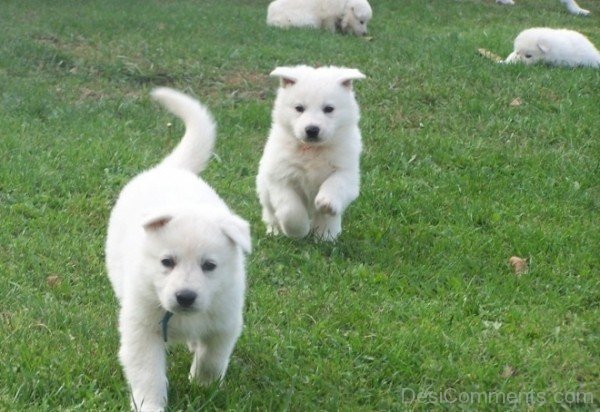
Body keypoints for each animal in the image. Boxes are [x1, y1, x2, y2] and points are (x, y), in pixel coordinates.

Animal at [105, 87, 251, 412]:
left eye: (209, 266)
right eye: (167, 262)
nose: (185, 297)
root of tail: (169, 169)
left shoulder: (224, 321)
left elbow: (212, 358)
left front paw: (203, 385)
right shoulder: (141, 328)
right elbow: (148, 374)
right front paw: (150, 405)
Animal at [254, 64, 364, 241]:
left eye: (329, 109)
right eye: (299, 108)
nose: (312, 130)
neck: (312, 150)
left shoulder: (346, 171)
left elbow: (335, 184)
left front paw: (326, 203)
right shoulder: (280, 178)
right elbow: (290, 210)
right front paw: (298, 231)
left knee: (326, 220)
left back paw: (326, 236)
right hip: (264, 191)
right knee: (270, 214)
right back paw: (275, 232)